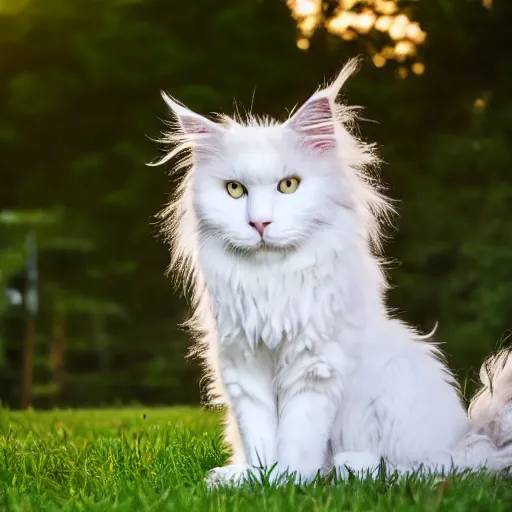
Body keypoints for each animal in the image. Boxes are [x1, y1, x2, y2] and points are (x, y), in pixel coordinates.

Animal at [154, 58, 512, 486]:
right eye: (235, 190)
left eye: (288, 185)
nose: (259, 224)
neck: (272, 280)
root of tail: (475, 439)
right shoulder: (243, 365)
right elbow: (260, 437)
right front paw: (257, 481)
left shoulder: (315, 363)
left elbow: (297, 437)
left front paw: (287, 482)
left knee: (425, 467)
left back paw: (347, 468)